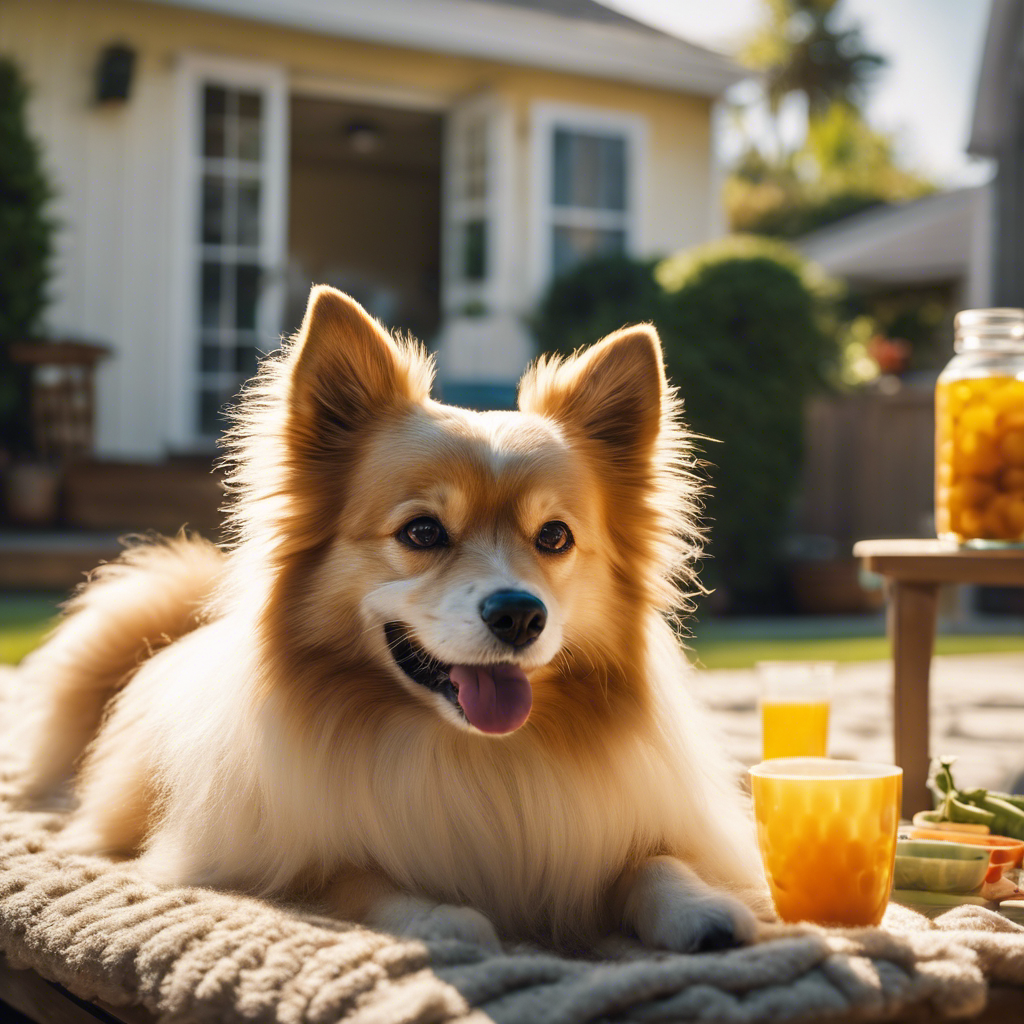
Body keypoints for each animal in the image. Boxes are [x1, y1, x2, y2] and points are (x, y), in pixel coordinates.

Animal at [18, 286, 770, 950]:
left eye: (554, 537)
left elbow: (653, 860)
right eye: (423, 532)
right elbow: (355, 877)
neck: (474, 756)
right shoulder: (274, 860)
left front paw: (698, 905)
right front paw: (440, 915)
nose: (520, 615)